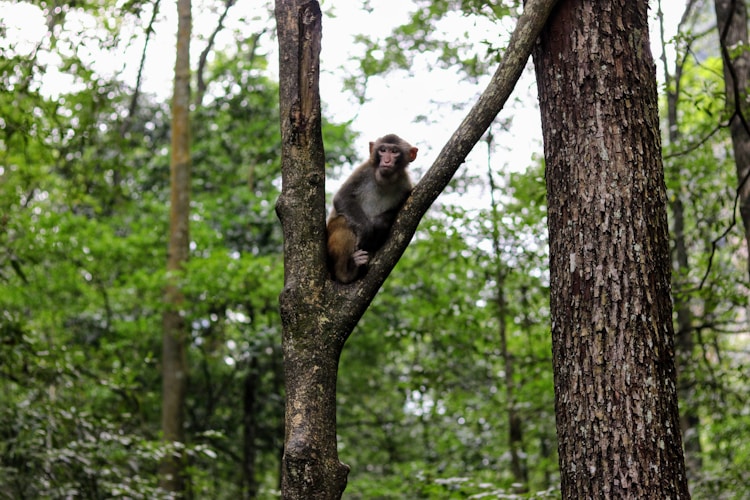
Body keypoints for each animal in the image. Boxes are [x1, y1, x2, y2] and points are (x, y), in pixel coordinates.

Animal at [328, 134, 420, 282]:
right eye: (382, 150)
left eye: (394, 151)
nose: (386, 161)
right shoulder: (364, 170)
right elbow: (342, 197)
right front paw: (366, 230)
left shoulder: (406, 185)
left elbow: (402, 209)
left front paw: (379, 223)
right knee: (343, 221)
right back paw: (346, 273)